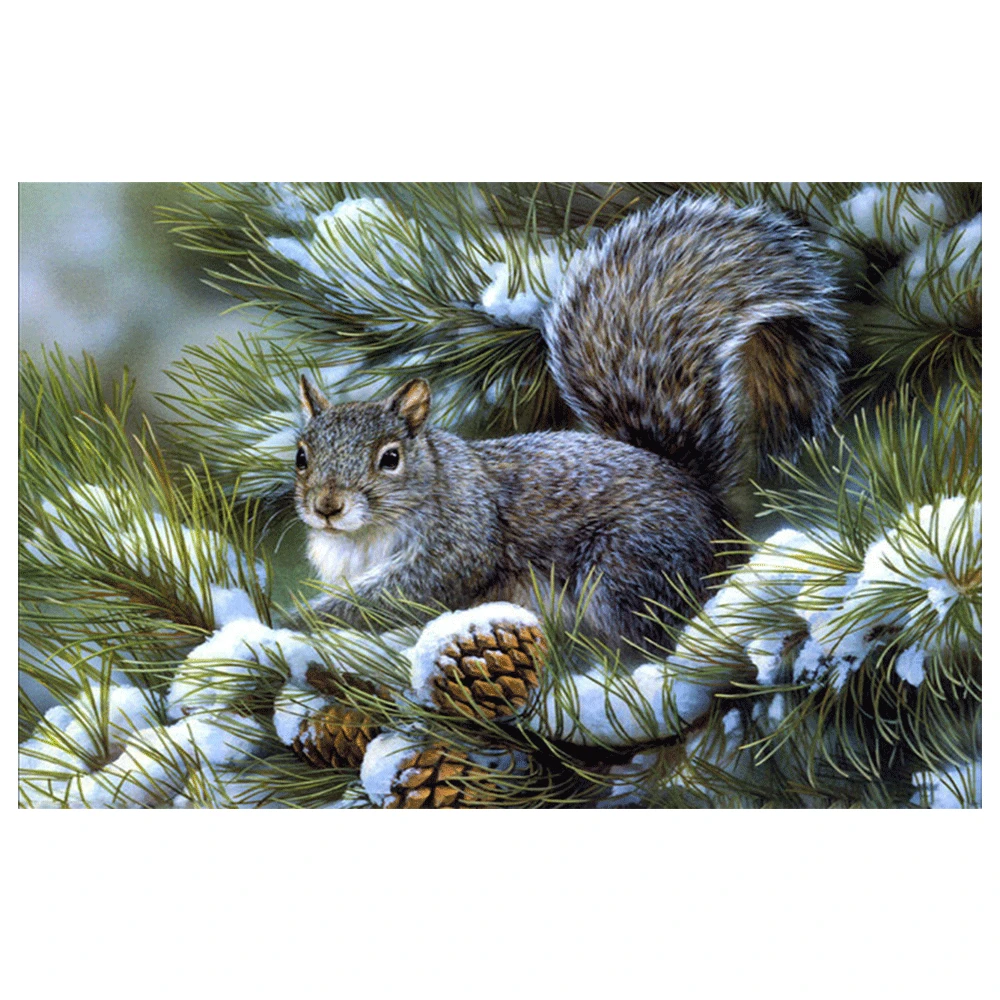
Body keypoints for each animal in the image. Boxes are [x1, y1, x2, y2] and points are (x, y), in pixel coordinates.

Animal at [291, 195, 847, 651]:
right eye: (301, 456)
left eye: (390, 458)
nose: (327, 507)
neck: (363, 536)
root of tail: (711, 511)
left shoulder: (461, 541)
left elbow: (404, 593)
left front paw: (308, 619)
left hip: (628, 566)